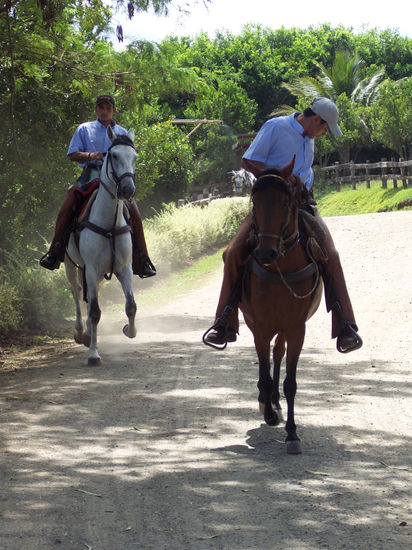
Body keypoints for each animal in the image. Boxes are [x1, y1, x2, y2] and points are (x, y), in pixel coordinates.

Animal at [65, 126, 137, 366]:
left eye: (134, 157)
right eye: (113, 155)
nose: (128, 189)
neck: (109, 225)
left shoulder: (124, 268)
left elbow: (130, 306)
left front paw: (129, 331)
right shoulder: (91, 268)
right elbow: (95, 312)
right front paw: (94, 354)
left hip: (95, 274)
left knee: (88, 297)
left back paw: (87, 333)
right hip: (71, 266)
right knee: (78, 293)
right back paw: (80, 332)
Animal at [240, 162, 324, 454]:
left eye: (286, 202)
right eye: (255, 201)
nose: (265, 253)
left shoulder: (296, 328)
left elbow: (290, 383)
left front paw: (292, 433)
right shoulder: (260, 327)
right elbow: (264, 372)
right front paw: (268, 411)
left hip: (285, 328)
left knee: (278, 354)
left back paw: (275, 401)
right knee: (269, 359)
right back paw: (267, 401)